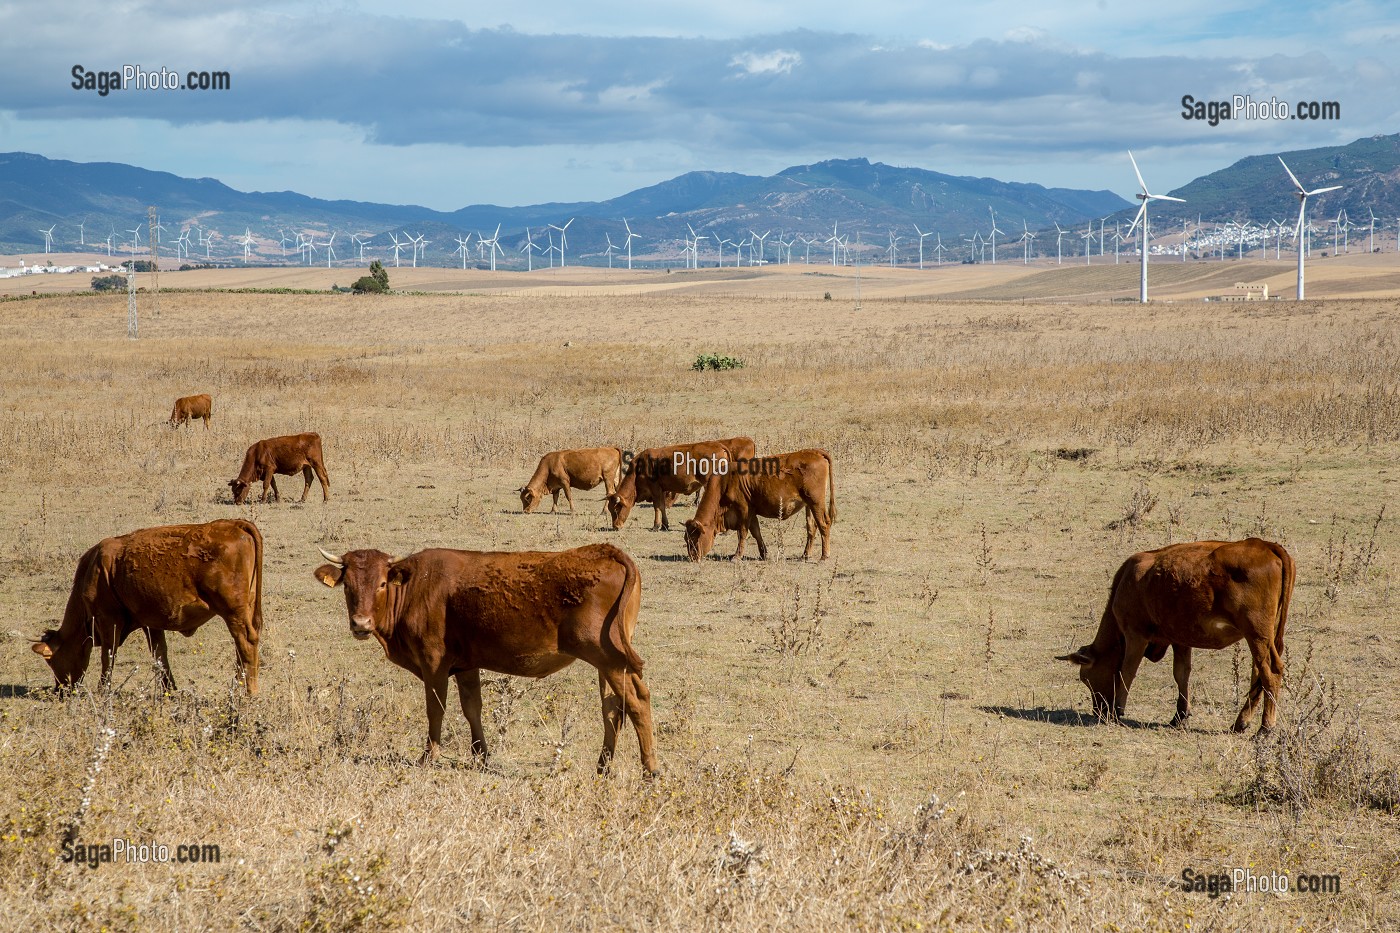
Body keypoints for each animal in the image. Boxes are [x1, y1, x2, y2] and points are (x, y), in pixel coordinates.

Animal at [29, 518, 264, 694]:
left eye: (52, 661)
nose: (60, 690)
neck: (94, 570)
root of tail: (234, 524)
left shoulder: (108, 620)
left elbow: (108, 655)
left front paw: (103, 689)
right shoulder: (151, 623)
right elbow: (160, 655)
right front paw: (169, 689)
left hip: (233, 613)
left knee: (245, 642)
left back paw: (248, 691)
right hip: (245, 609)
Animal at [317, 537, 655, 767]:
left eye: (382, 583)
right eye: (347, 585)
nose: (361, 623)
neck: (416, 587)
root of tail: (606, 551)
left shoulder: (434, 663)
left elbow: (435, 709)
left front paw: (428, 756)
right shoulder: (466, 665)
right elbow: (472, 708)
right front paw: (481, 755)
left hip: (609, 659)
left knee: (636, 704)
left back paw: (649, 770)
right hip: (610, 663)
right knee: (613, 709)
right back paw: (603, 767)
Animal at [604, 431, 756, 526]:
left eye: (616, 509)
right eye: (610, 510)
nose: (615, 526)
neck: (639, 468)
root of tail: (721, 446)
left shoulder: (655, 489)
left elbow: (657, 506)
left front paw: (656, 525)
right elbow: (662, 507)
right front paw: (664, 525)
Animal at [686, 445, 834, 554]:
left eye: (694, 539)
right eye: (686, 540)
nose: (693, 557)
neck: (724, 482)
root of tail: (815, 452)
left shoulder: (743, 510)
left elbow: (742, 533)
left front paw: (737, 555)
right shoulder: (751, 511)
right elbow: (756, 532)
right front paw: (763, 553)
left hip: (816, 502)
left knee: (824, 524)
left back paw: (824, 556)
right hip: (809, 505)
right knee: (811, 527)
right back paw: (805, 555)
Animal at [1058, 537, 1299, 734]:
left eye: (1086, 678)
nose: (1098, 712)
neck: (1128, 581)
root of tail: (1265, 545)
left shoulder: (1135, 635)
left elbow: (1127, 672)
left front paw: (1118, 711)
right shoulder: (1180, 640)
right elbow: (1181, 674)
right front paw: (1180, 716)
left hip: (1257, 635)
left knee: (1270, 672)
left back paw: (1266, 728)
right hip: (1262, 638)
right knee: (1258, 674)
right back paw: (1241, 722)